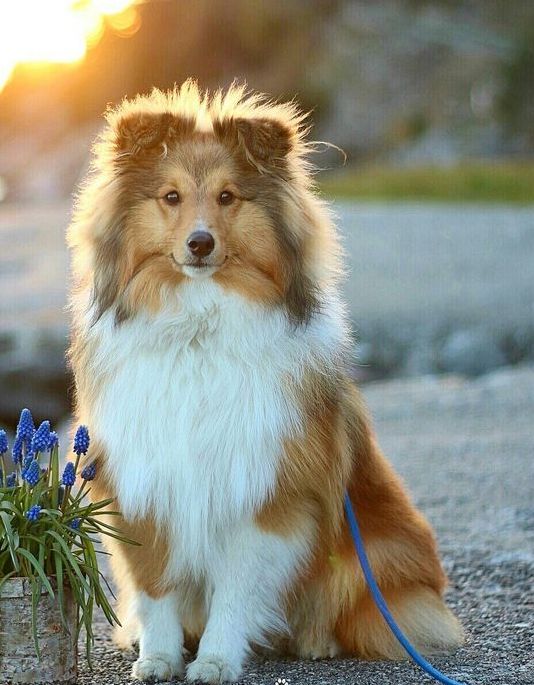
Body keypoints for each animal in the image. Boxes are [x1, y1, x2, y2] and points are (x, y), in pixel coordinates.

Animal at [68, 80, 464, 680]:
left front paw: (215, 661)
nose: (200, 244)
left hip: (377, 549)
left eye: (229, 197)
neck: (198, 329)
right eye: (171, 197)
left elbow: (237, 591)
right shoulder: (145, 480)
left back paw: (316, 642)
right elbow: (156, 587)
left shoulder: (265, 492)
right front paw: (159, 658)